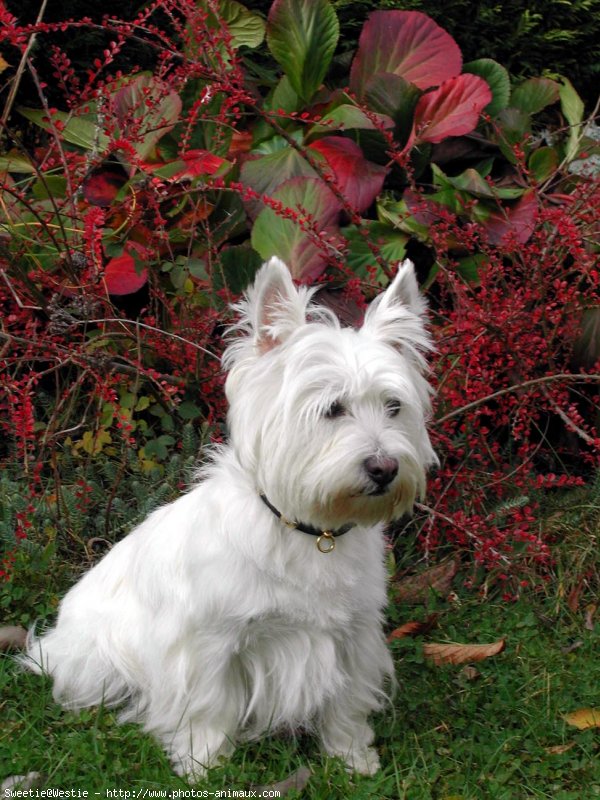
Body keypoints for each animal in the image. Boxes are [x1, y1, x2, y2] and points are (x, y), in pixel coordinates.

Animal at [22, 258, 436, 780]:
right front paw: (203, 763)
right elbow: (208, 705)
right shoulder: (209, 643)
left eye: (394, 407)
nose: (385, 468)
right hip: (97, 657)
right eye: (332, 409)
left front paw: (352, 757)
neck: (309, 531)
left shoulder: (352, 634)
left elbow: (346, 700)